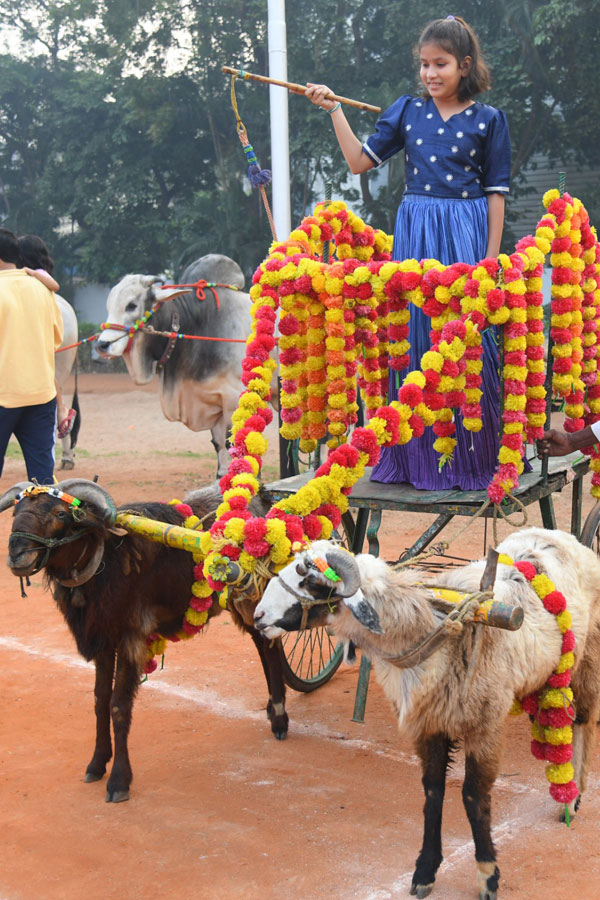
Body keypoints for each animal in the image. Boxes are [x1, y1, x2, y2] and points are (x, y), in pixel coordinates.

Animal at [1, 478, 290, 800]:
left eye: (61, 514)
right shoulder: (104, 639)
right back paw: (272, 707)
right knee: (261, 643)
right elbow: (100, 700)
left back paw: (280, 717)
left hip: (251, 597)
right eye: (16, 512)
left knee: (270, 647)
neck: (108, 560)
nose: (17, 555)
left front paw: (119, 781)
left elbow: (118, 706)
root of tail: (262, 499)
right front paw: (97, 763)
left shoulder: (131, 637)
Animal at [255, 528, 600, 900]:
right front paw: (425, 871)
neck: (433, 630)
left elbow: (474, 798)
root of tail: (556, 534)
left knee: (581, 723)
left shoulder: (485, 726)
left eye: (309, 580)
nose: (258, 617)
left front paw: (487, 874)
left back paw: (572, 797)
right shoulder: (429, 726)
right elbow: (433, 794)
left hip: (585, 658)